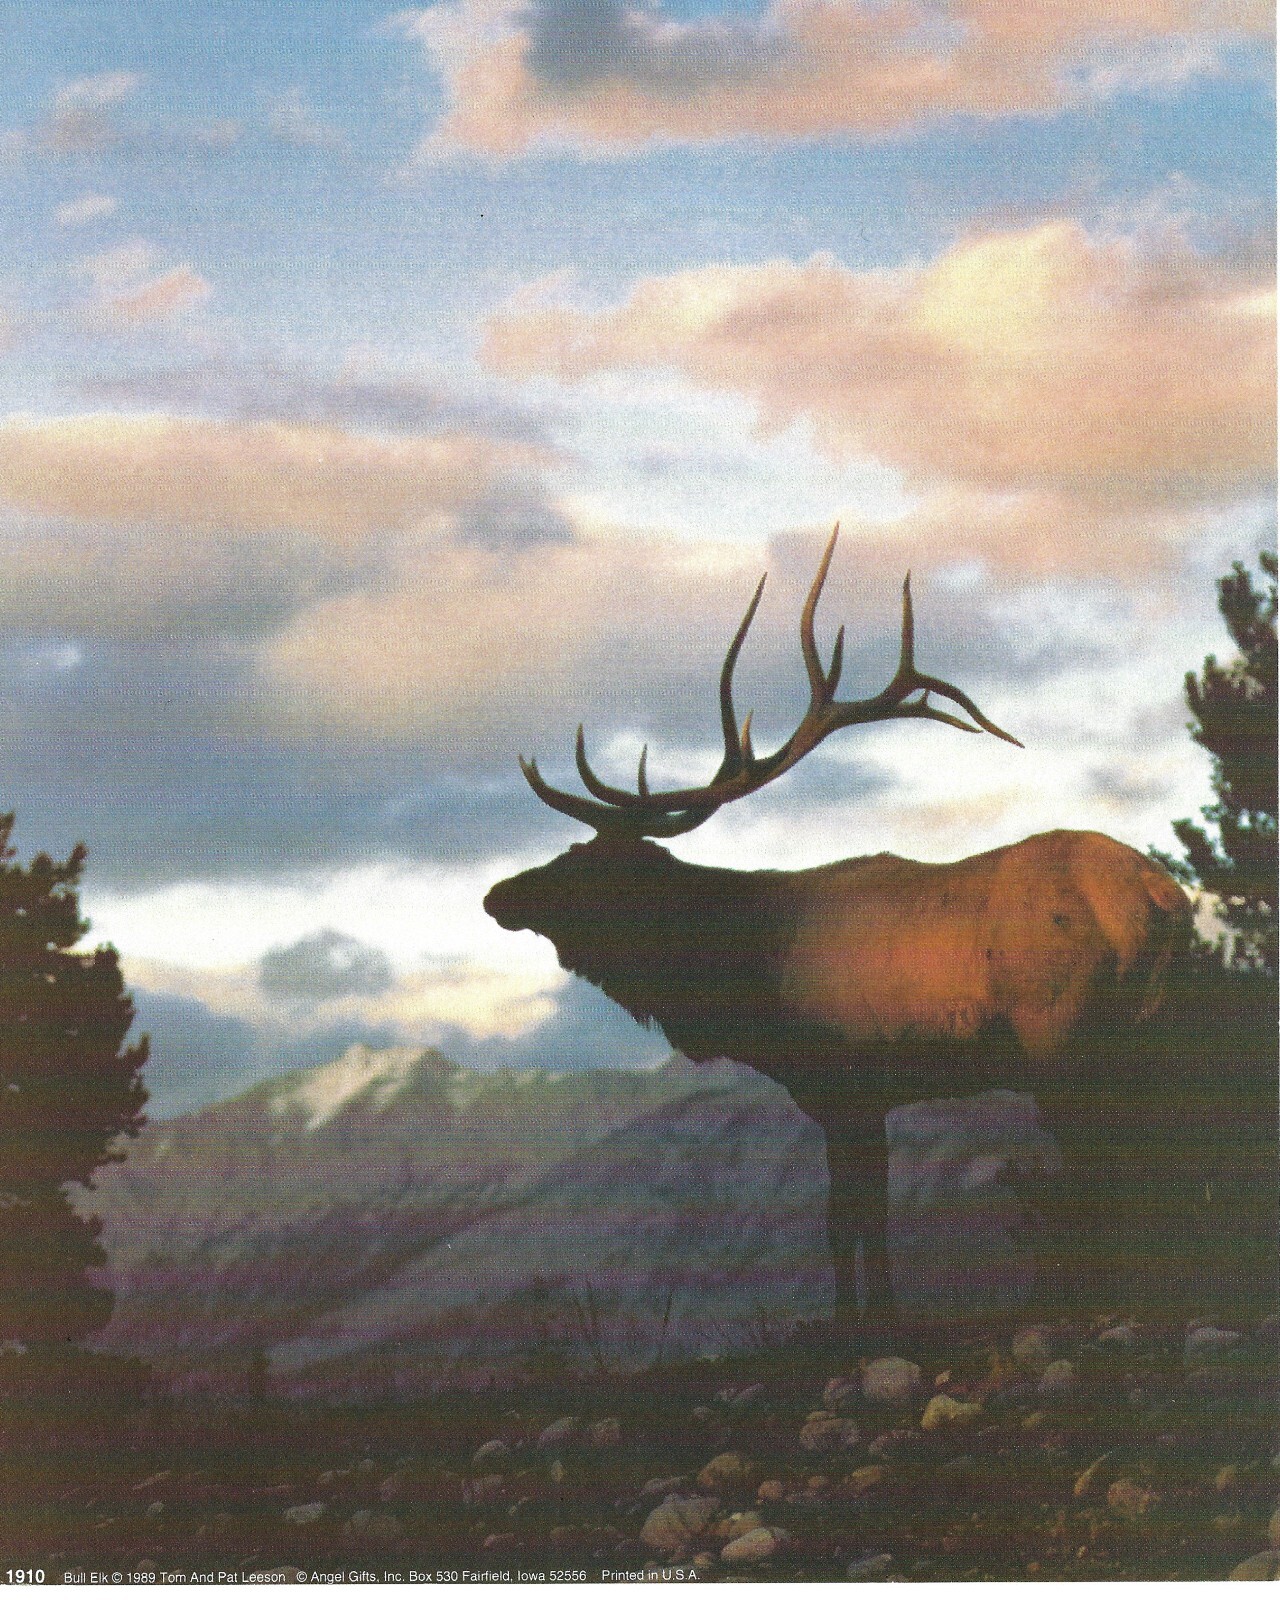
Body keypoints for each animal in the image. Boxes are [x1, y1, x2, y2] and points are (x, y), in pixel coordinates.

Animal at [484, 527, 1191, 1332]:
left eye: (583, 863)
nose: (497, 896)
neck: (747, 982)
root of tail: (1164, 897)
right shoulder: (860, 1098)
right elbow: (860, 1217)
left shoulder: (846, 1082)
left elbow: (848, 1220)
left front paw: (859, 1324)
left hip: (1064, 1038)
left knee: (1102, 1172)